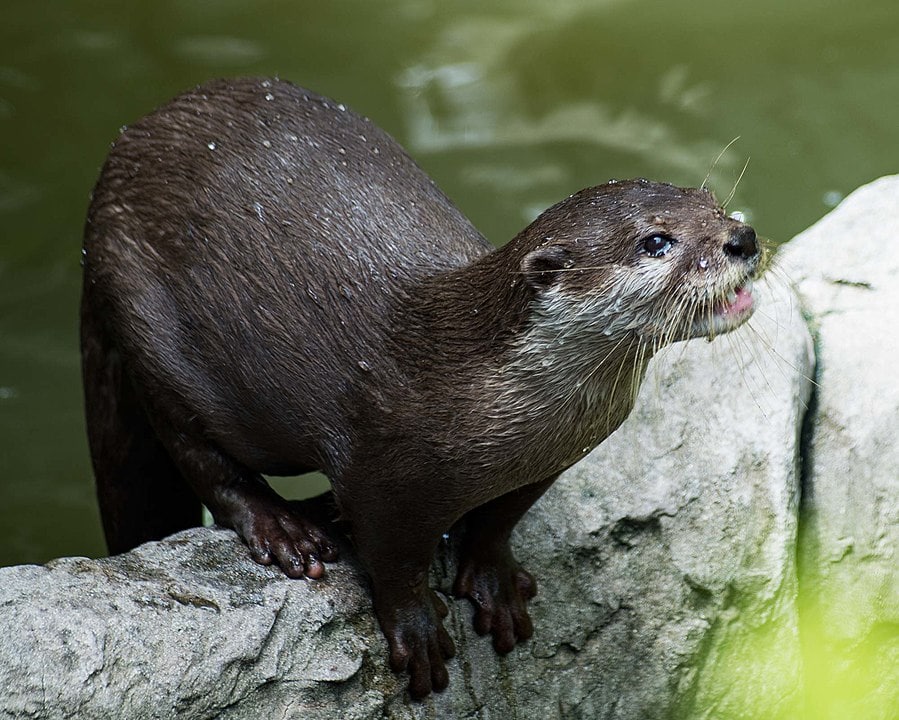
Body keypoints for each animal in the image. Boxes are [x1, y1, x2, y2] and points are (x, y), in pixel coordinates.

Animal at [81, 77, 760, 699]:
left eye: (712, 204)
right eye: (656, 241)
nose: (743, 238)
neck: (481, 392)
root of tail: (110, 173)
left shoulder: (550, 461)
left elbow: (501, 519)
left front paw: (494, 580)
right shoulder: (383, 470)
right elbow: (391, 558)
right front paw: (418, 633)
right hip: (146, 320)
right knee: (198, 453)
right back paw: (284, 528)